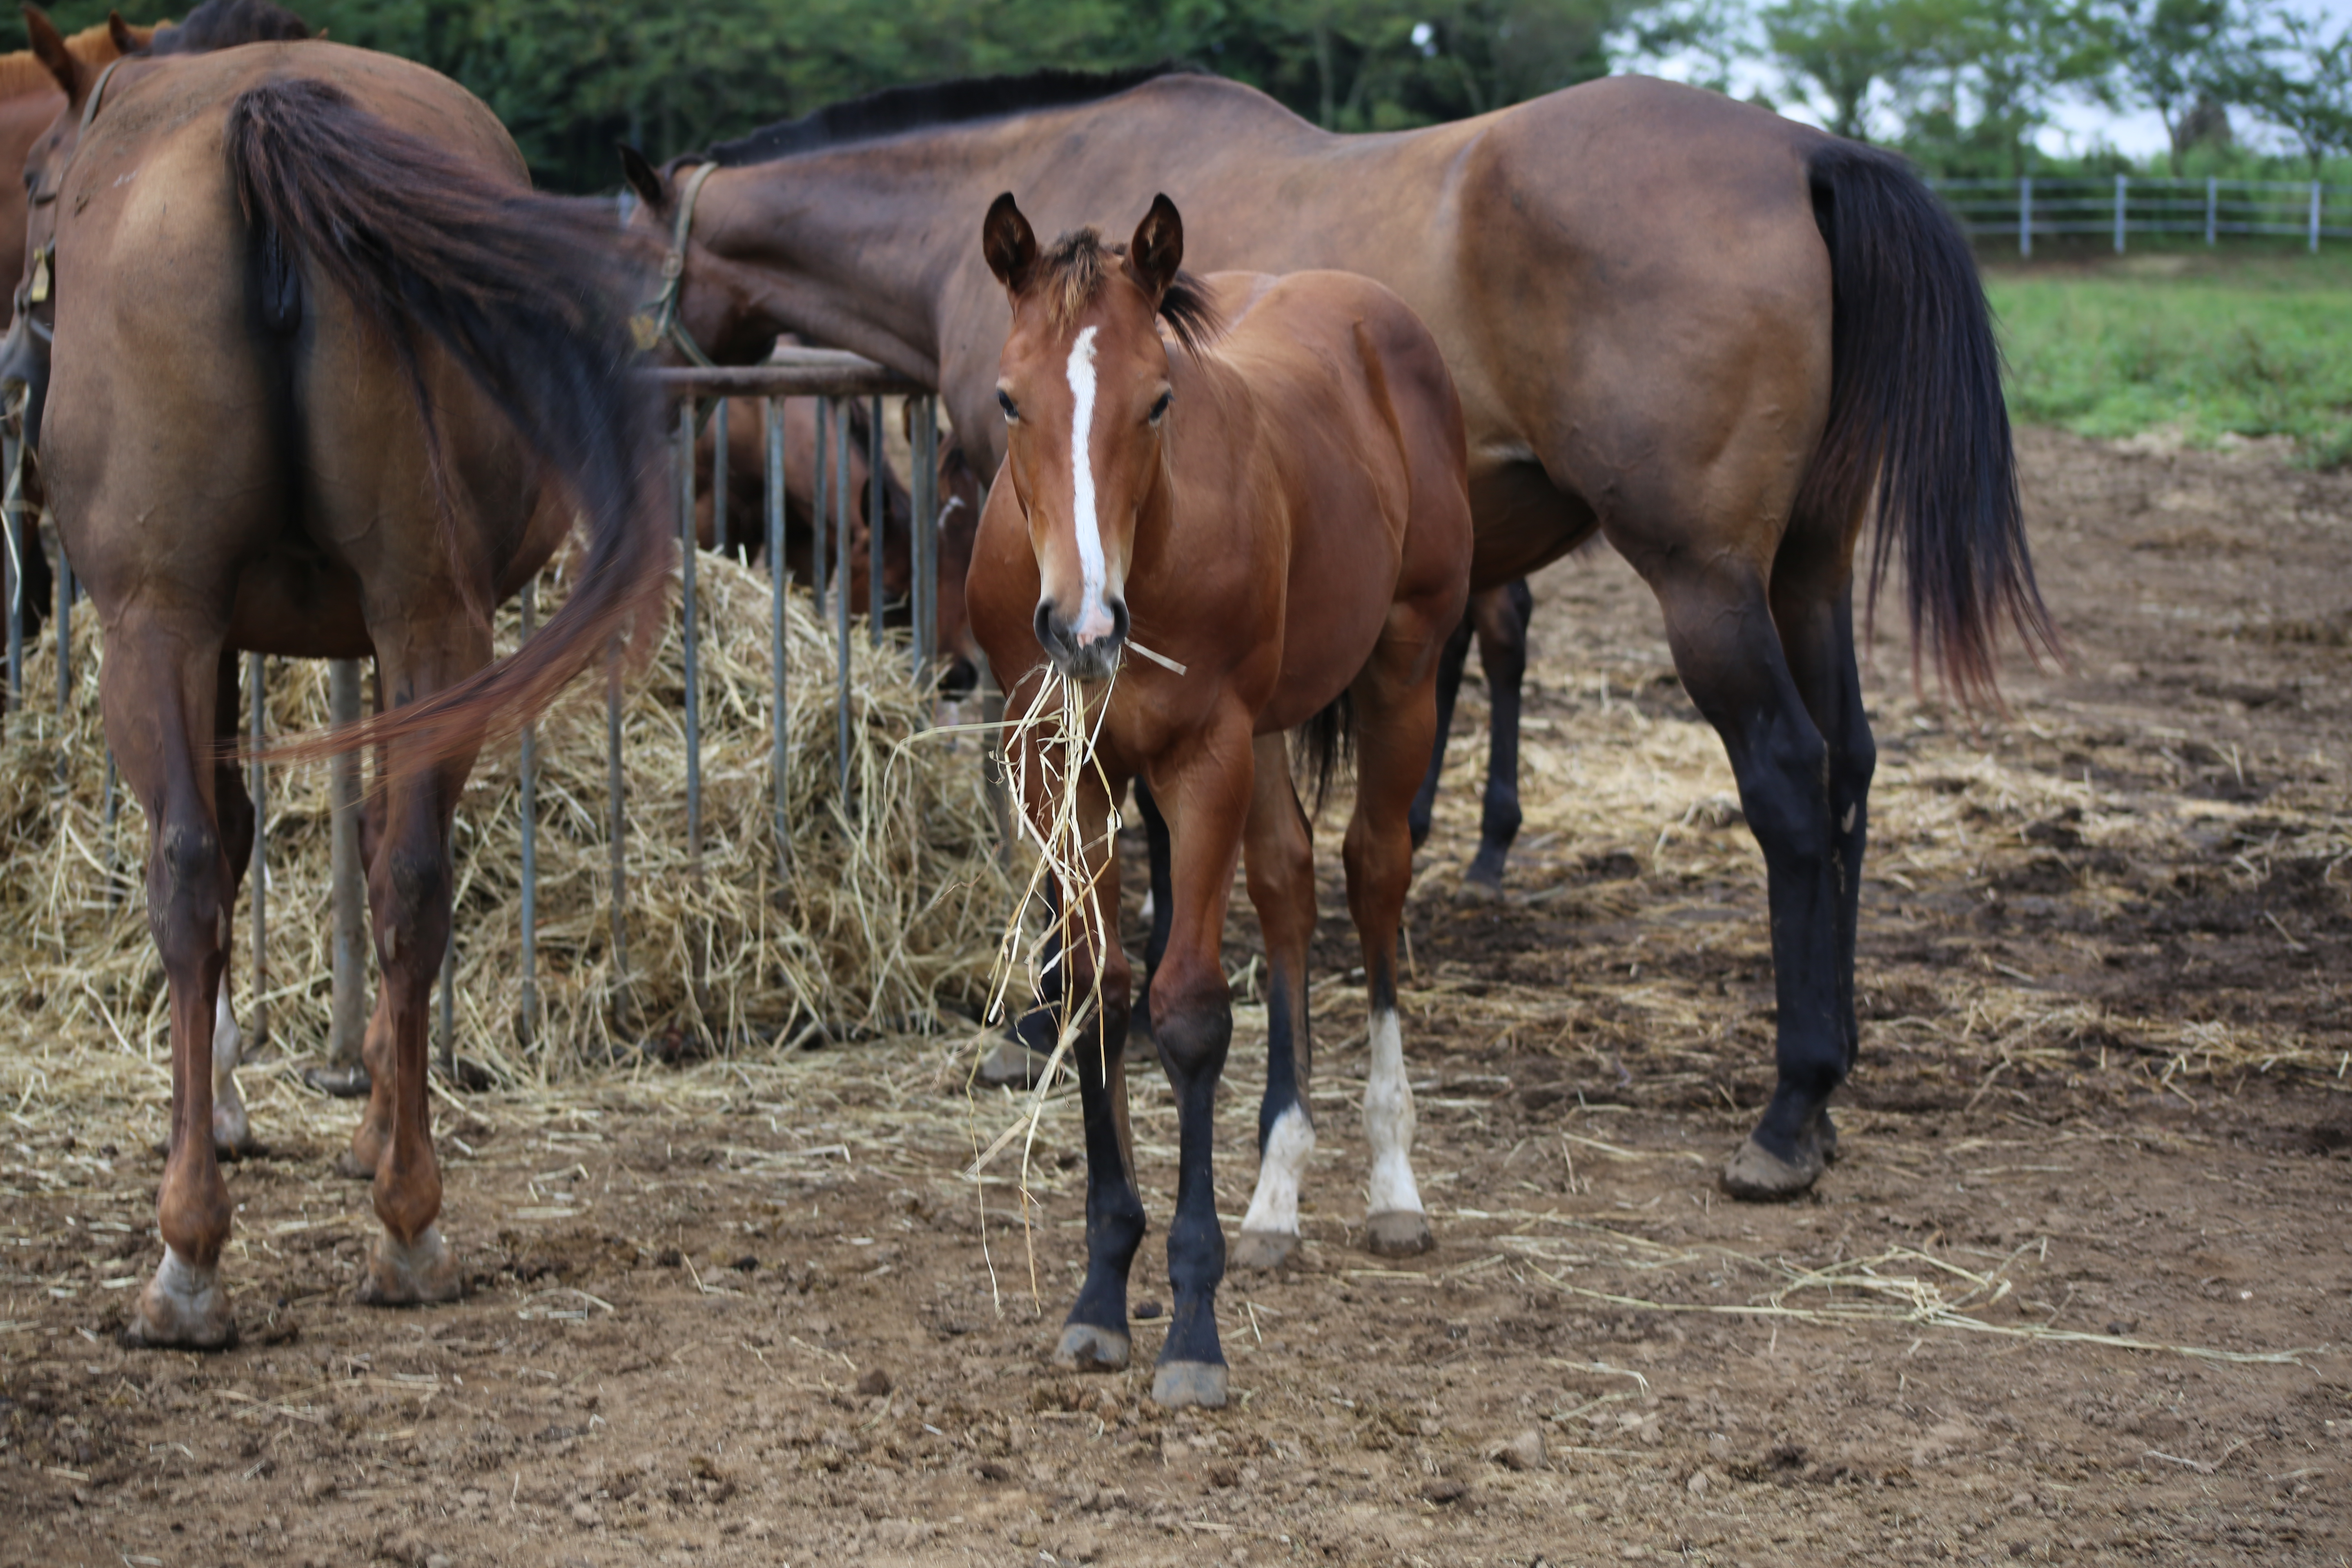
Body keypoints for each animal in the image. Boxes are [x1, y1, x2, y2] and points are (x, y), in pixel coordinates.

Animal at [9, 33, 673, 1354]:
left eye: (41, 185)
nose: (16, 336)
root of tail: (264, 116)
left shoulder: (235, 638)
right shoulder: (341, 631)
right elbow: (344, 850)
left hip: (190, 620)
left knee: (213, 867)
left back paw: (216, 1250)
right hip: (405, 617)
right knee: (391, 870)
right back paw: (390, 1223)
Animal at [621, 67, 2041, 1203]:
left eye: (620, 268)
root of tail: (1806, 155)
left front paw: (1046, 1014)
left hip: (1707, 581)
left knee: (1790, 781)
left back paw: (1792, 1107)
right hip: (1803, 567)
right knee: (1849, 764)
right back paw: (1833, 1076)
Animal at [964, 196, 1458, 1410]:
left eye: (1158, 399)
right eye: (1008, 398)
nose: (1081, 627)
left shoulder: (1204, 755)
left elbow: (1186, 1011)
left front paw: (1192, 1325)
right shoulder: (1058, 762)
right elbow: (1094, 993)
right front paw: (1100, 1297)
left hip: (1405, 666)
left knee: (1373, 874)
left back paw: (1391, 1184)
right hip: (1274, 724)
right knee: (1284, 883)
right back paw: (1276, 1196)